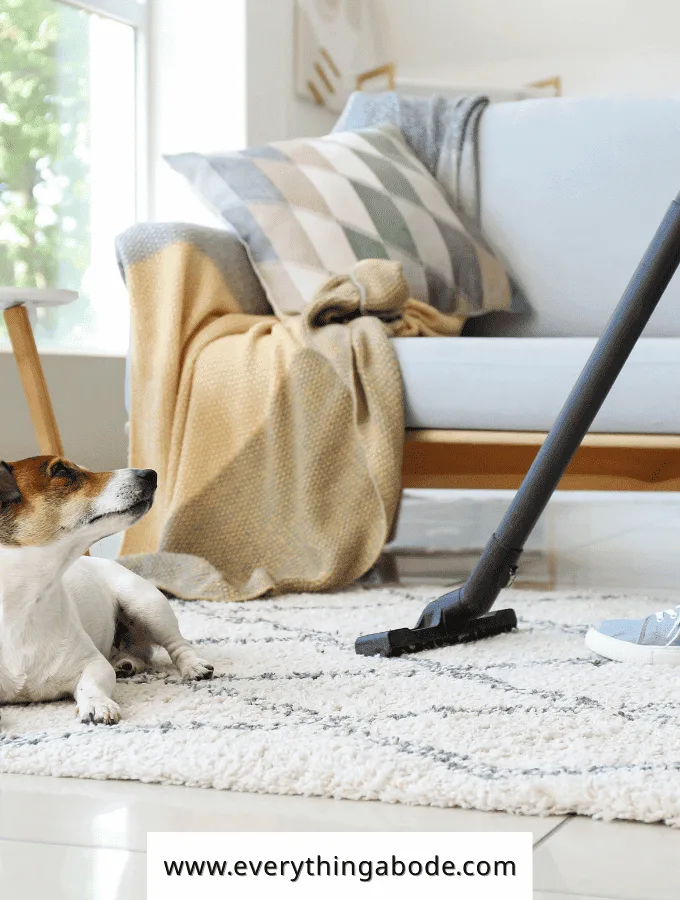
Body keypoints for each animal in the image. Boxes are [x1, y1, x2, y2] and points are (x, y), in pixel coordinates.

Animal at [0, 458, 212, 724]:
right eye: (61, 471)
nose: (151, 474)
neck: (21, 605)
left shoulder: (93, 664)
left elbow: (91, 684)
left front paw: (96, 703)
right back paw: (126, 663)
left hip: (147, 605)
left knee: (177, 645)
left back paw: (193, 666)